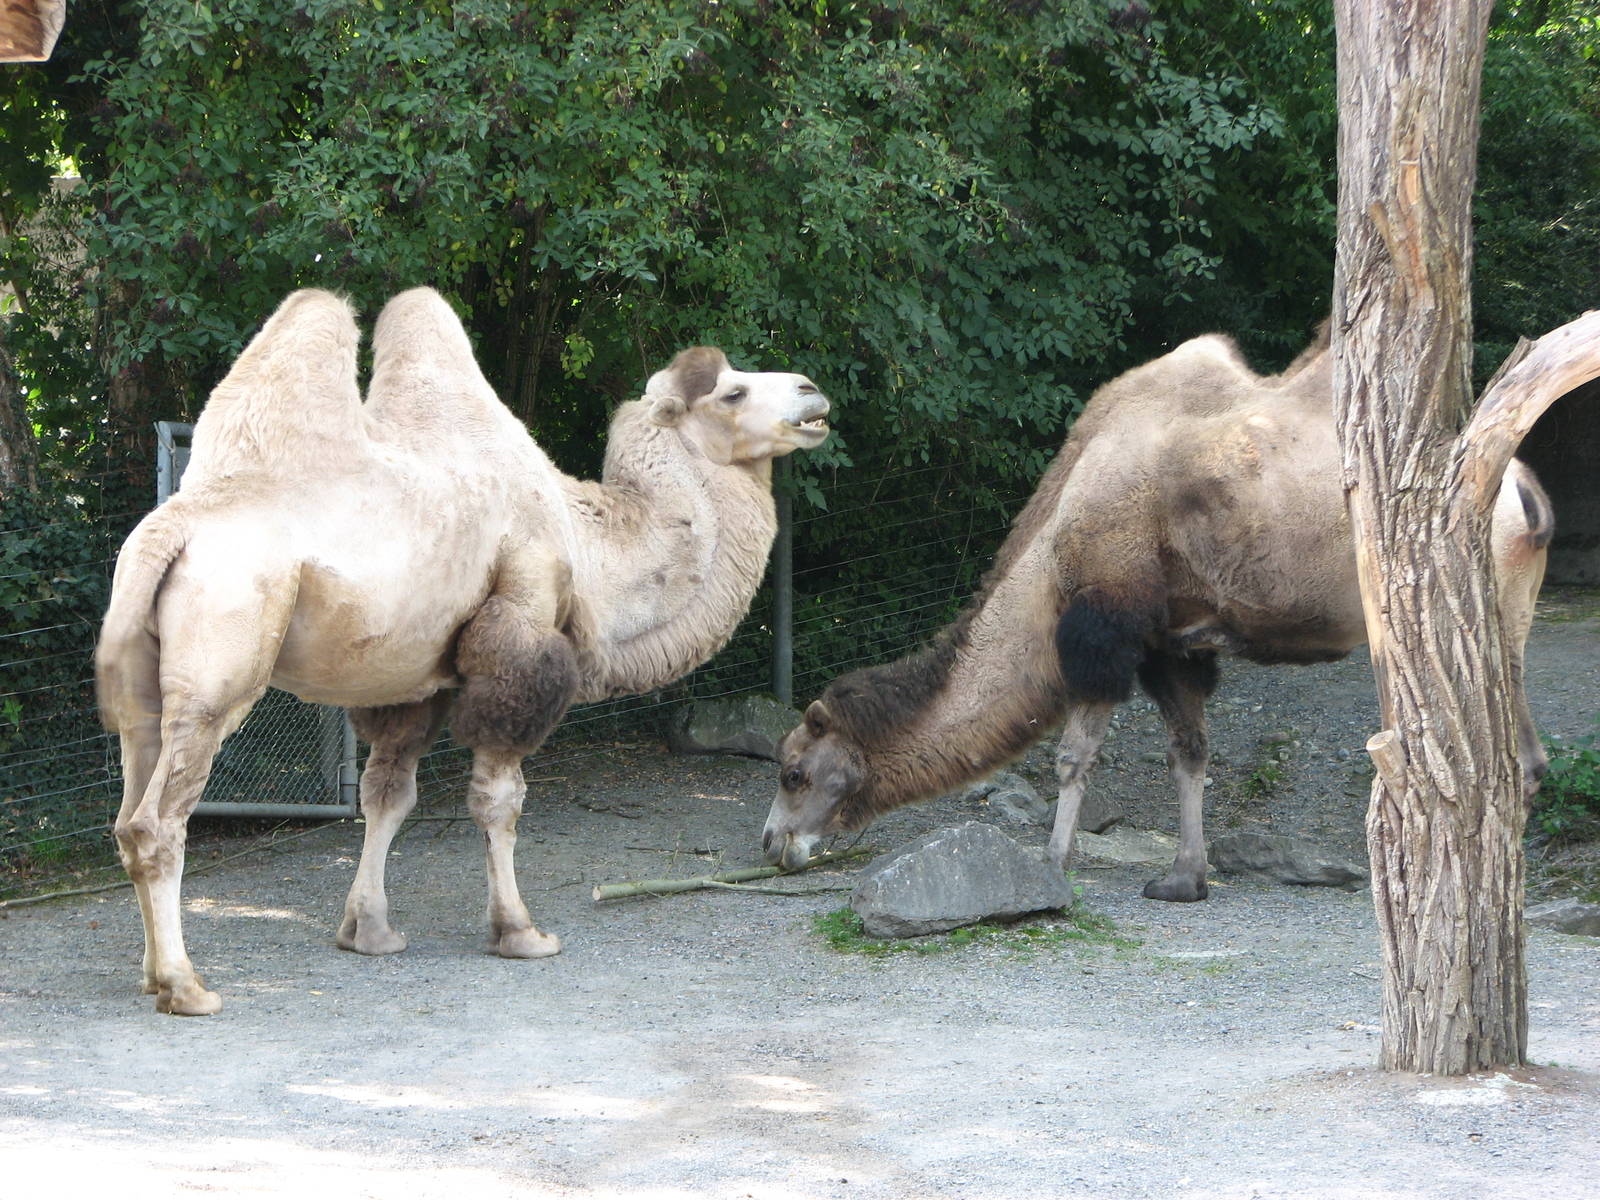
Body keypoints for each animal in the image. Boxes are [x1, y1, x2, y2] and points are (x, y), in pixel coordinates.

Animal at [97, 287, 829, 1014]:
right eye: (732, 392)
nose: (811, 391)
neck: (590, 544)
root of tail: (168, 533)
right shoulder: (522, 625)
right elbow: (498, 799)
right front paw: (520, 932)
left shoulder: (419, 682)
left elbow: (388, 796)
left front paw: (369, 931)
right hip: (219, 663)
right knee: (159, 822)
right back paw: (187, 987)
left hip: (143, 684)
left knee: (128, 811)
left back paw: (151, 974)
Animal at [762, 329, 1552, 901]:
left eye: (794, 772)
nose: (772, 845)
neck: (1050, 557)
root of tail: (1521, 491)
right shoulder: (1171, 644)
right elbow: (1189, 750)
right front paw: (1184, 879)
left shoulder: (1103, 629)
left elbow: (1073, 757)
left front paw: (1050, 863)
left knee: (1507, 755)